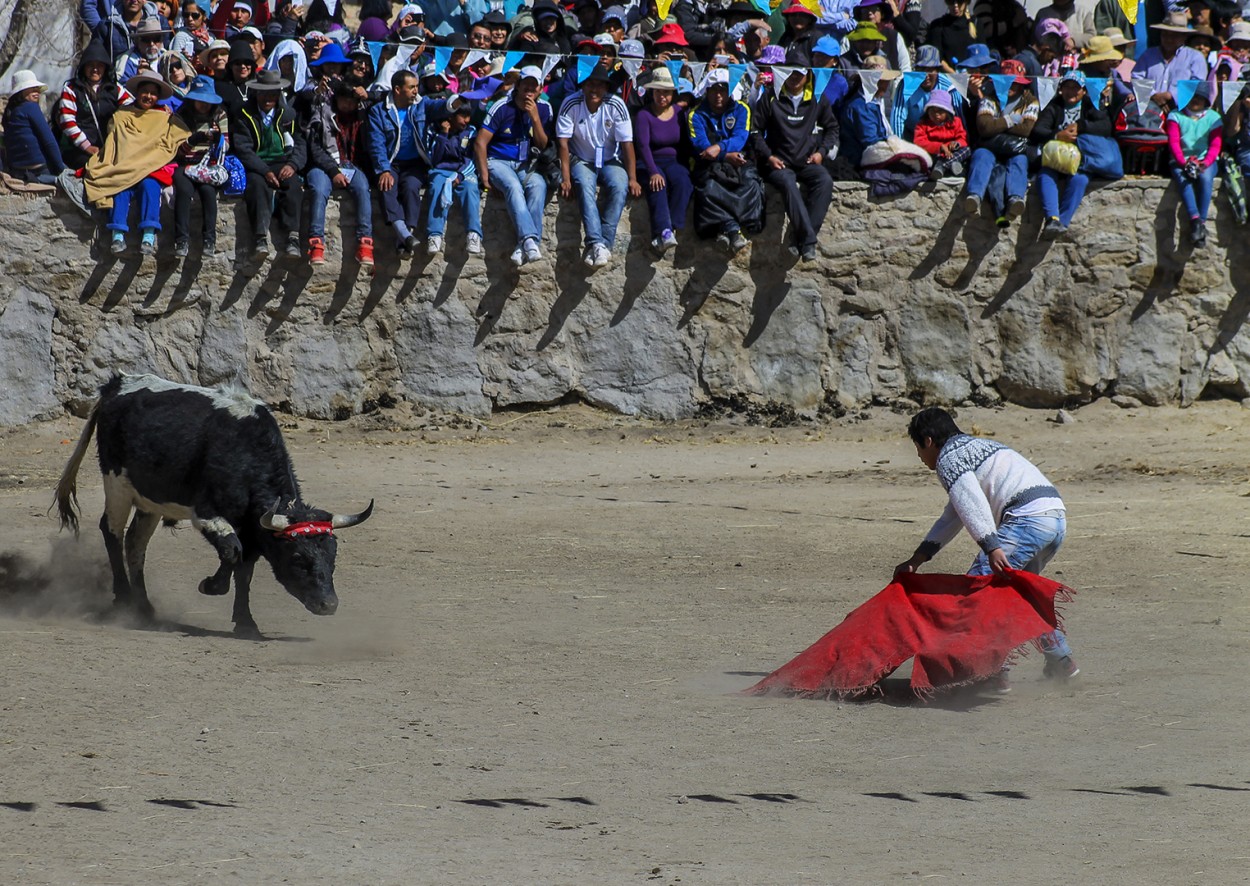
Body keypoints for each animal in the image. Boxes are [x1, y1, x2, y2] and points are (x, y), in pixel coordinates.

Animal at [53, 372, 372, 634]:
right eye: (297, 558)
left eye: (332, 556)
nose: (328, 605)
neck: (246, 454)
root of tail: (116, 384)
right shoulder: (207, 514)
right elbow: (232, 552)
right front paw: (210, 585)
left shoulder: (252, 529)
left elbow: (245, 572)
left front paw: (246, 623)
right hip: (117, 484)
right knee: (112, 532)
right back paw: (123, 599)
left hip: (149, 500)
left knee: (135, 542)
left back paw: (144, 608)